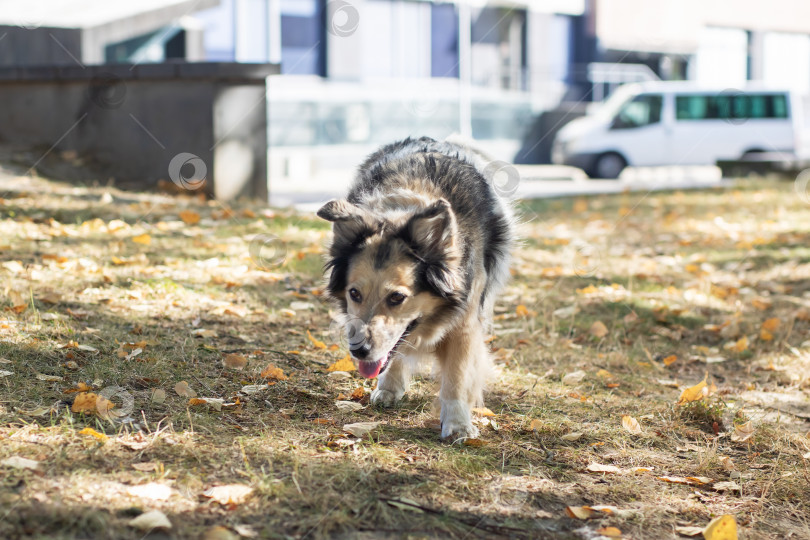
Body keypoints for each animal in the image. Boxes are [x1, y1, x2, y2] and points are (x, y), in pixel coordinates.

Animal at [316, 137, 512, 440]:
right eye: (354, 294)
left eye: (397, 297)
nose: (359, 351)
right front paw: (388, 386)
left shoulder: (464, 322)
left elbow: (456, 377)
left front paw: (457, 424)